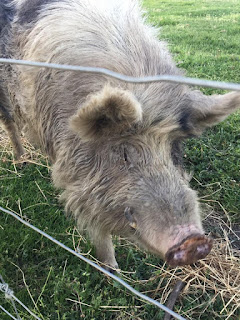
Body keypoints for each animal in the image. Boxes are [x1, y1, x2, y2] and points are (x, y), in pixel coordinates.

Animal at [0, 0, 239, 270]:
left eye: (174, 149)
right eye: (123, 152)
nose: (193, 242)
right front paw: (112, 269)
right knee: (9, 122)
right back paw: (20, 161)